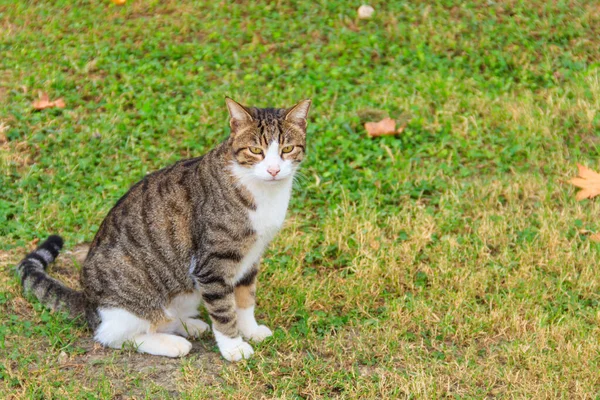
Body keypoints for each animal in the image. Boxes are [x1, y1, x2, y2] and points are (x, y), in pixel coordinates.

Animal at [16, 97, 312, 362]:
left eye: (287, 149)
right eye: (255, 151)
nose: (273, 170)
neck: (263, 192)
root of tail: (88, 302)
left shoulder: (250, 257)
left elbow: (245, 300)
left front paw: (250, 330)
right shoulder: (213, 264)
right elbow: (224, 310)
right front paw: (234, 347)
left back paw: (189, 325)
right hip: (130, 301)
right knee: (113, 335)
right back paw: (172, 344)